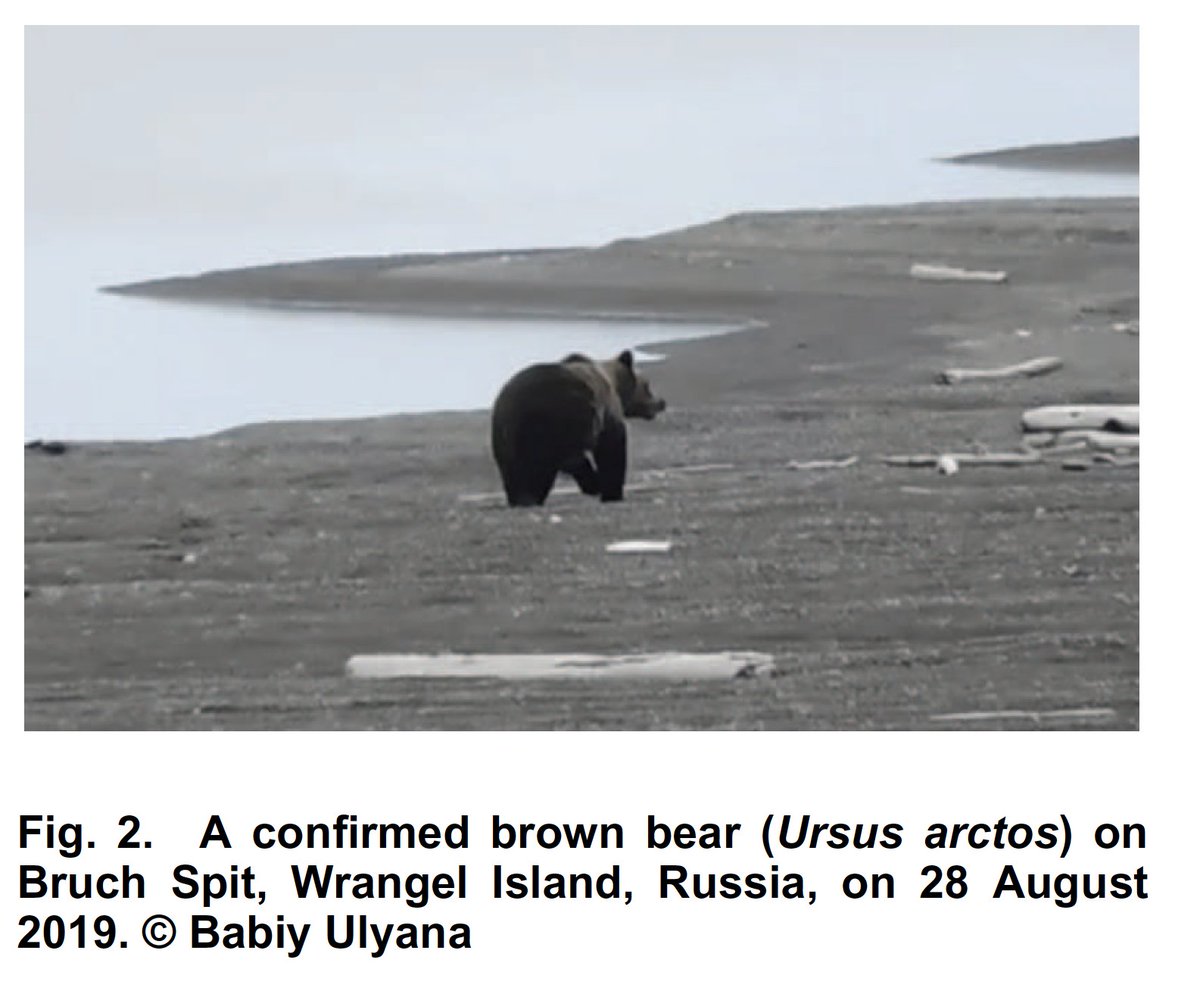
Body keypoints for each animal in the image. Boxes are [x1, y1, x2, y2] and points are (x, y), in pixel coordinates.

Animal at [490, 349, 666, 507]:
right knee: (562, 457)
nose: (661, 402)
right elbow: (612, 447)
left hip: (505, 434)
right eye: (647, 385)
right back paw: (590, 483)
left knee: (516, 468)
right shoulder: (607, 413)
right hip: (564, 413)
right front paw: (612, 493)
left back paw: (524, 498)